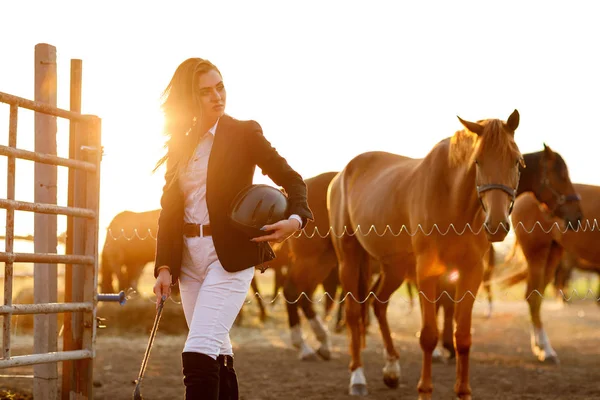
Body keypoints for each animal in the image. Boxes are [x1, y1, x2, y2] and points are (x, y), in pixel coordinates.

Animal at [330, 111, 524, 398]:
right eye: (477, 161)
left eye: (517, 161)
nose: (497, 225)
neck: (452, 200)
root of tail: (342, 174)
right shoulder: (427, 271)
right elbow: (429, 335)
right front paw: (425, 391)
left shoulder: (471, 272)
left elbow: (462, 336)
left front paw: (463, 392)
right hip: (349, 258)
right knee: (354, 313)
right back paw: (357, 377)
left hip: (395, 267)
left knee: (378, 303)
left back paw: (391, 369)